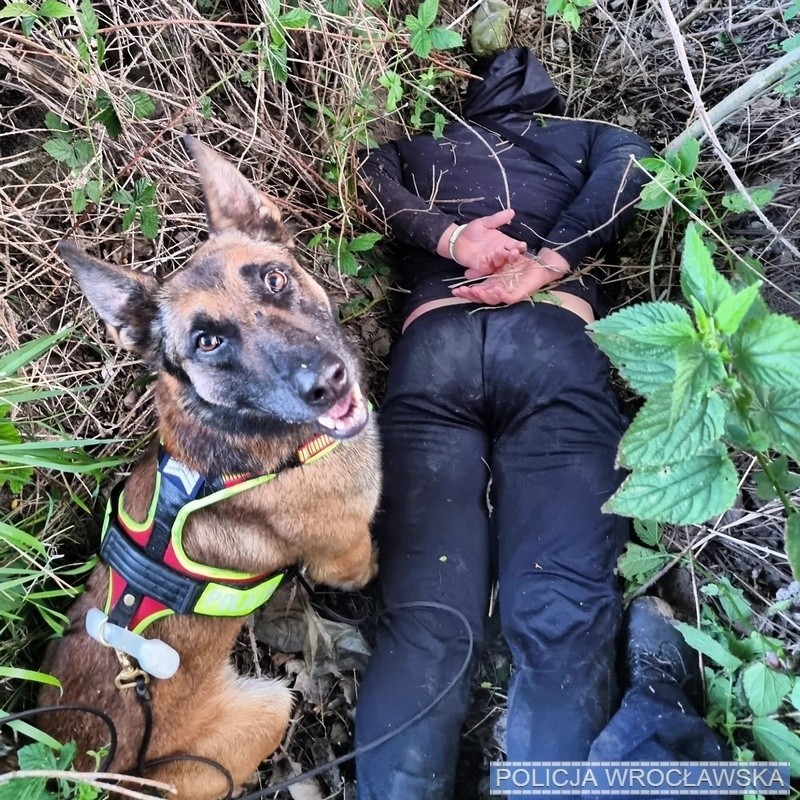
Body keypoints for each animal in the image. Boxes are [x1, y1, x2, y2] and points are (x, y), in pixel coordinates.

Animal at [39, 138, 382, 800]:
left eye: (275, 279)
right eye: (207, 342)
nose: (326, 383)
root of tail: (103, 777)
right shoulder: (343, 552)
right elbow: (362, 563)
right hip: (269, 708)